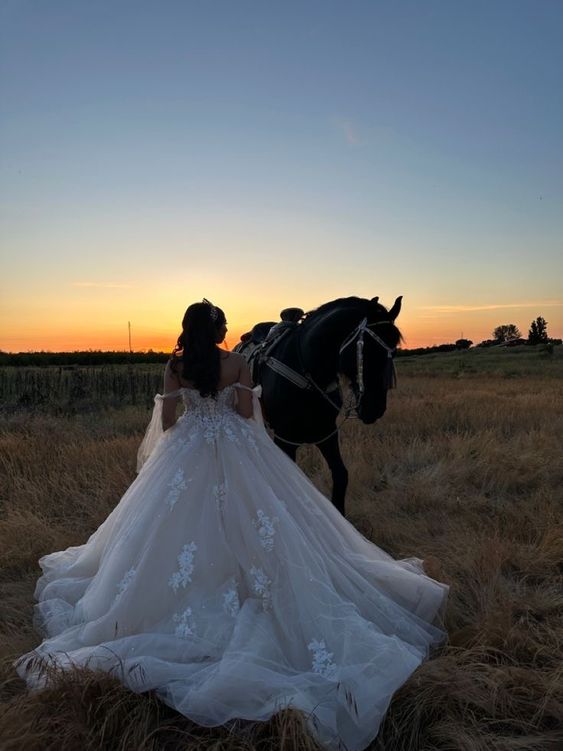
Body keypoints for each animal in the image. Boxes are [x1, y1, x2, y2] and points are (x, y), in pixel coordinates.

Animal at [236, 294, 404, 516]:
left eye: (394, 349)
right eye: (366, 348)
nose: (375, 408)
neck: (307, 368)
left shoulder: (326, 433)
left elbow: (341, 475)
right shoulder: (285, 439)